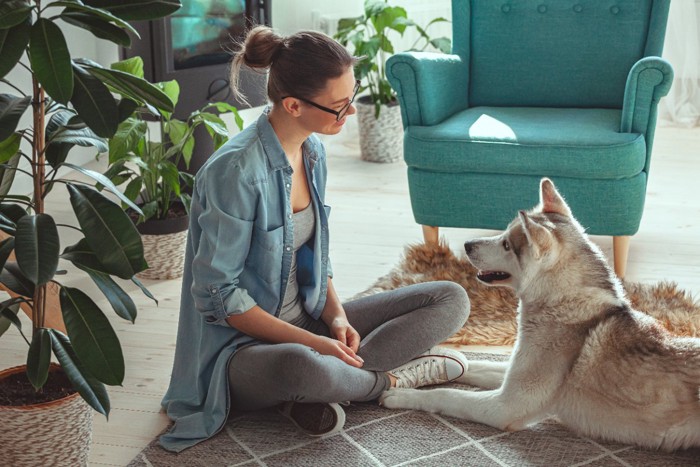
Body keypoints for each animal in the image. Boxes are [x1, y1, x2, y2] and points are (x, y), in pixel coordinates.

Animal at [380, 178, 700, 450]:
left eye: (507, 244)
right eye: (504, 233)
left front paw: (403, 395)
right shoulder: (512, 374)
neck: (562, 304)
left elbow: (447, 395)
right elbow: (474, 365)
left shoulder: (504, 406)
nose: (468, 245)